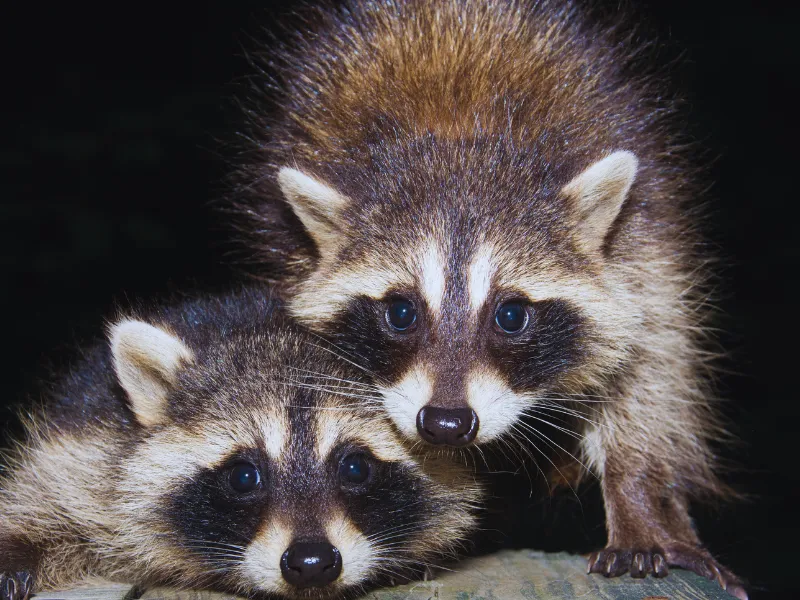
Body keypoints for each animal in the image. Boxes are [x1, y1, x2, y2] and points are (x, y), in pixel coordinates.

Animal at [232, 0, 746, 597]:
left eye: (511, 315)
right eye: (400, 313)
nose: (447, 423)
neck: (461, 145)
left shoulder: (645, 242)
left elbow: (648, 372)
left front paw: (639, 497)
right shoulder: (291, 252)